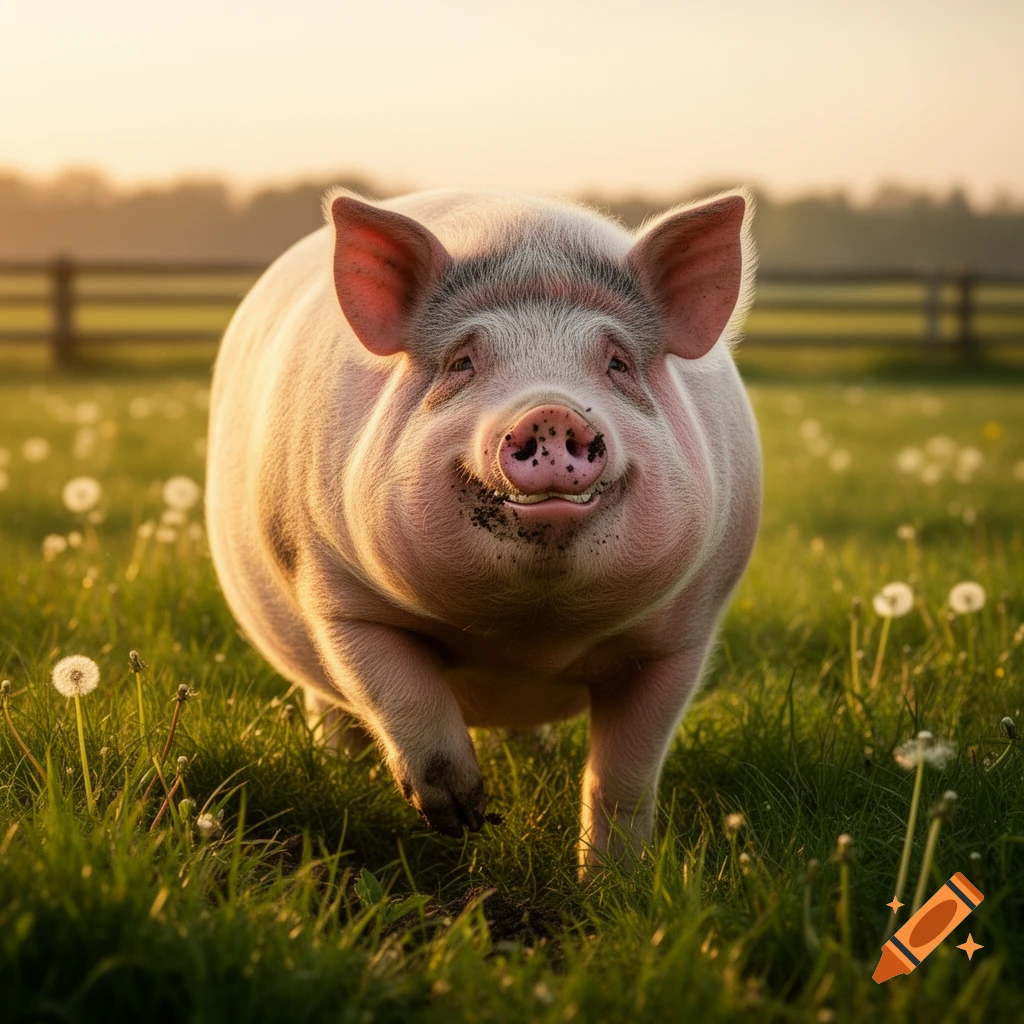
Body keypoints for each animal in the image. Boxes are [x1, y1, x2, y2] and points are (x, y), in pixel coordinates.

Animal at [205, 185, 762, 879]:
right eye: (463, 361)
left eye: (617, 362)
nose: (550, 410)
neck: (528, 637)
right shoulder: (335, 587)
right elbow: (398, 690)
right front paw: (464, 819)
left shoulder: (684, 634)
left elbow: (624, 775)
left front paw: (612, 884)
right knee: (329, 706)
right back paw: (339, 768)